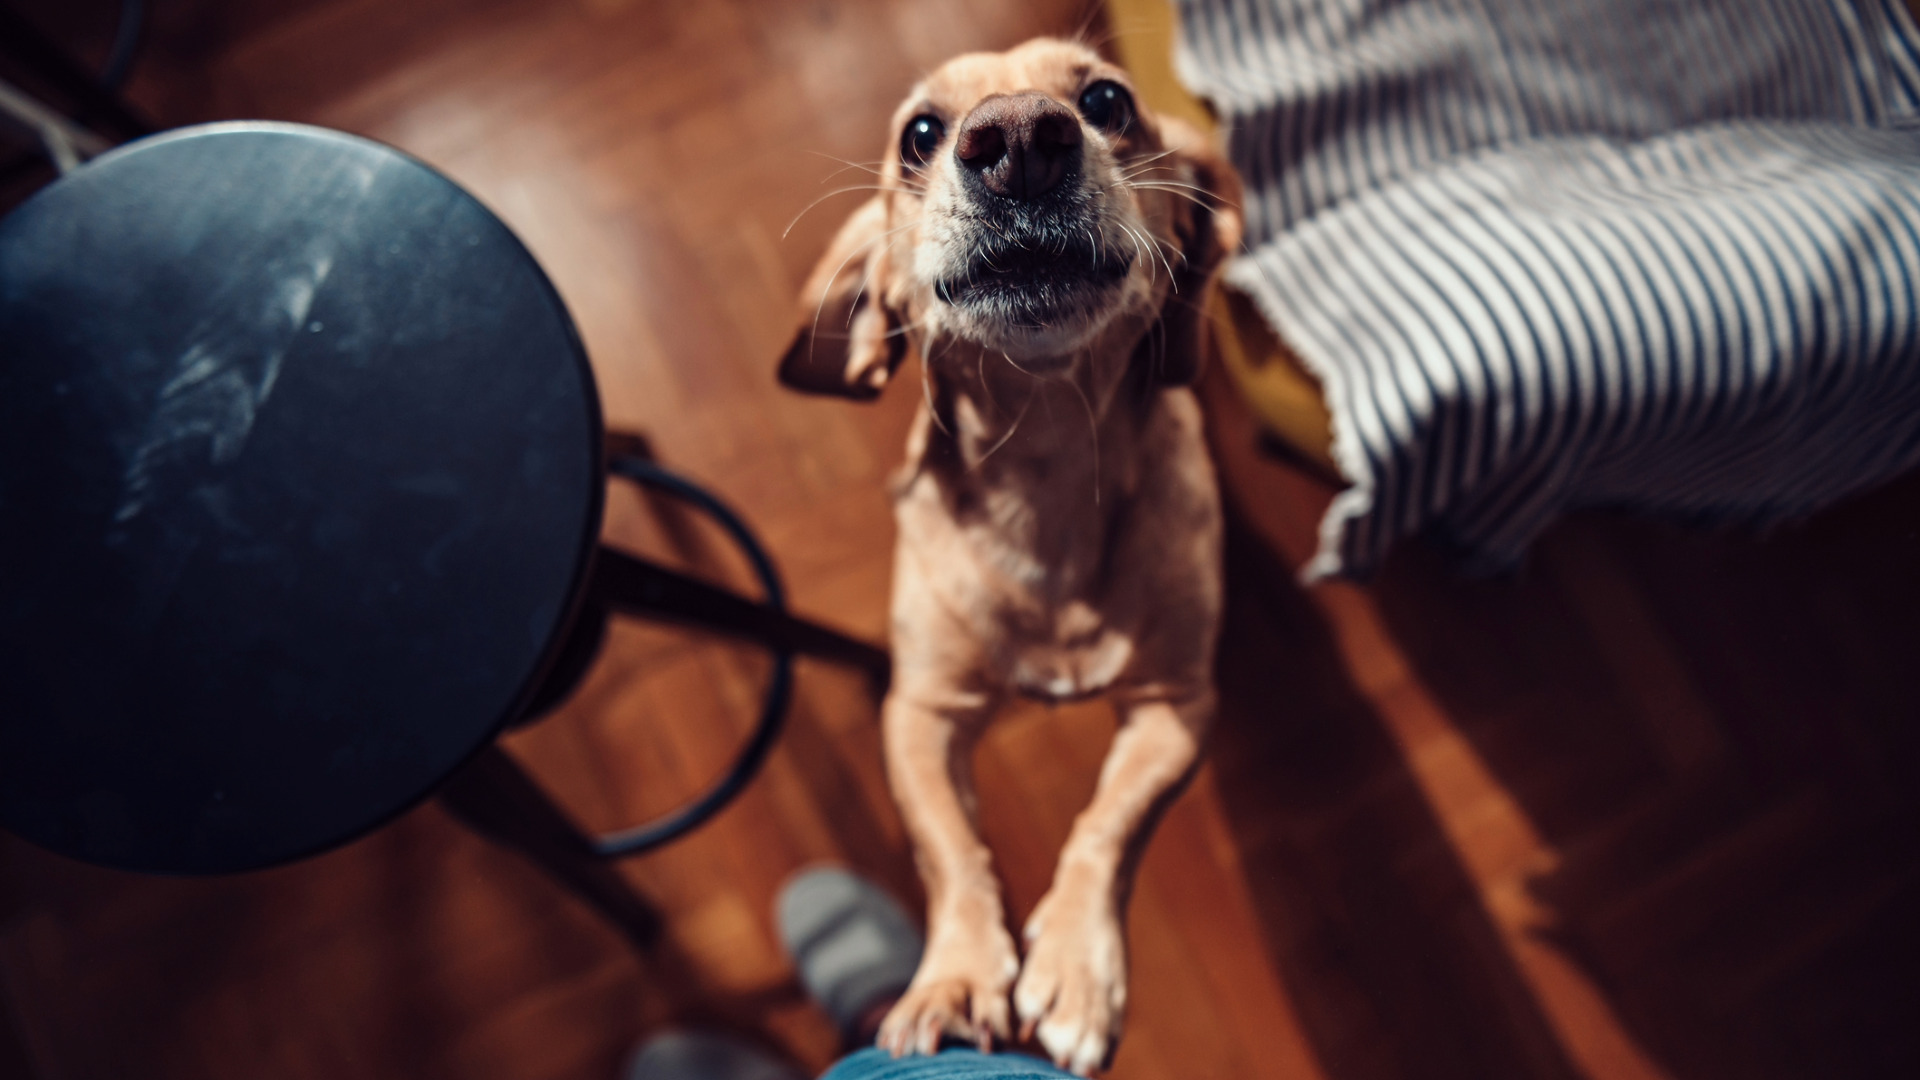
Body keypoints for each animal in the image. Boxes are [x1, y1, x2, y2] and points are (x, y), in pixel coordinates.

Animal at [779, 37, 1244, 1068]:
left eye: (1107, 101)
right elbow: (951, 852)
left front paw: (1076, 968)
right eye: (919, 133)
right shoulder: (919, 714)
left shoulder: (1178, 708)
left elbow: (1109, 823)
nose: (1021, 139)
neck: (1046, 470)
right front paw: (951, 980)